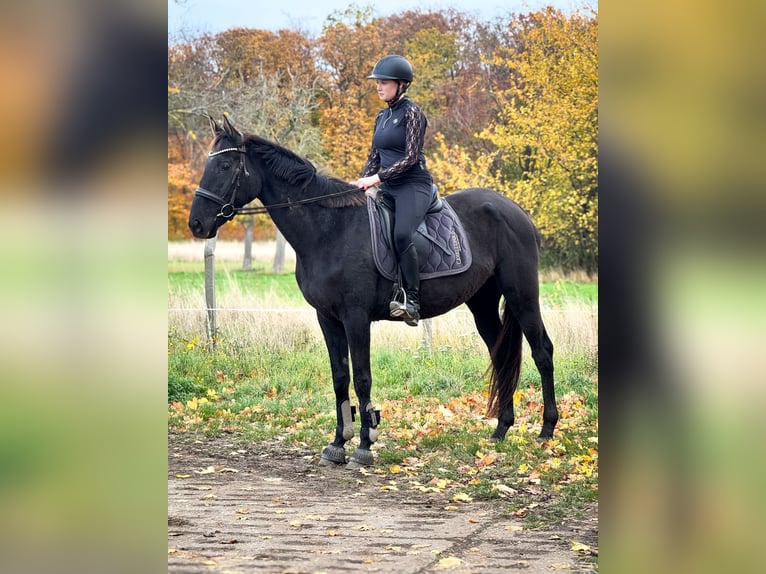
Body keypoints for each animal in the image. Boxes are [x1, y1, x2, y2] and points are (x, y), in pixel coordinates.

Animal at [188, 115, 558, 468]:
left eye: (224, 166)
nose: (197, 224)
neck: (329, 231)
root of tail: (515, 210)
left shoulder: (356, 318)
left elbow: (362, 378)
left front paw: (365, 447)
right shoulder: (328, 319)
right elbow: (340, 377)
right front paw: (338, 444)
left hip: (522, 295)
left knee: (542, 351)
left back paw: (546, 430)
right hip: (482, 302)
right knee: (500, 354)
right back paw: (501, 430)